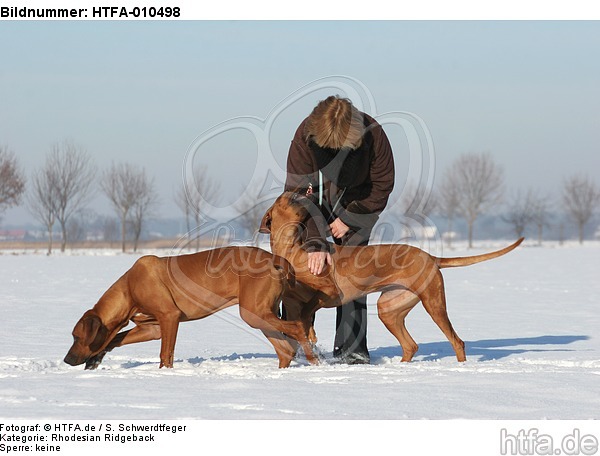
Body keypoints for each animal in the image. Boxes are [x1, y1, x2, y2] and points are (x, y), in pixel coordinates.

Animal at [63, 246, 322, 370]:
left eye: (76, 336)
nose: (66, 359)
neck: (129, 288)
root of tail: (273, 258)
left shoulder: (169, 317)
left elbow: (165, 354)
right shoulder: (151, 327)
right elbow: (116, 338)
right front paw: (94, 359)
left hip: (254, 312)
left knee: (296, 327)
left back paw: (313, 361)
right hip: (258, 314)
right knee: (284, 349)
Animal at [260, 192, 524, 364]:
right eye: (285, 199)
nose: (301, 190)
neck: (291, 249)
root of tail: (430, 256)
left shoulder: (330, 292)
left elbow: (309, 311)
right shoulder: (293, 302)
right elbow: (302, 319)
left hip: (433, 303)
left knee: (456, 341)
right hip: (389, 307)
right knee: (411, 345)